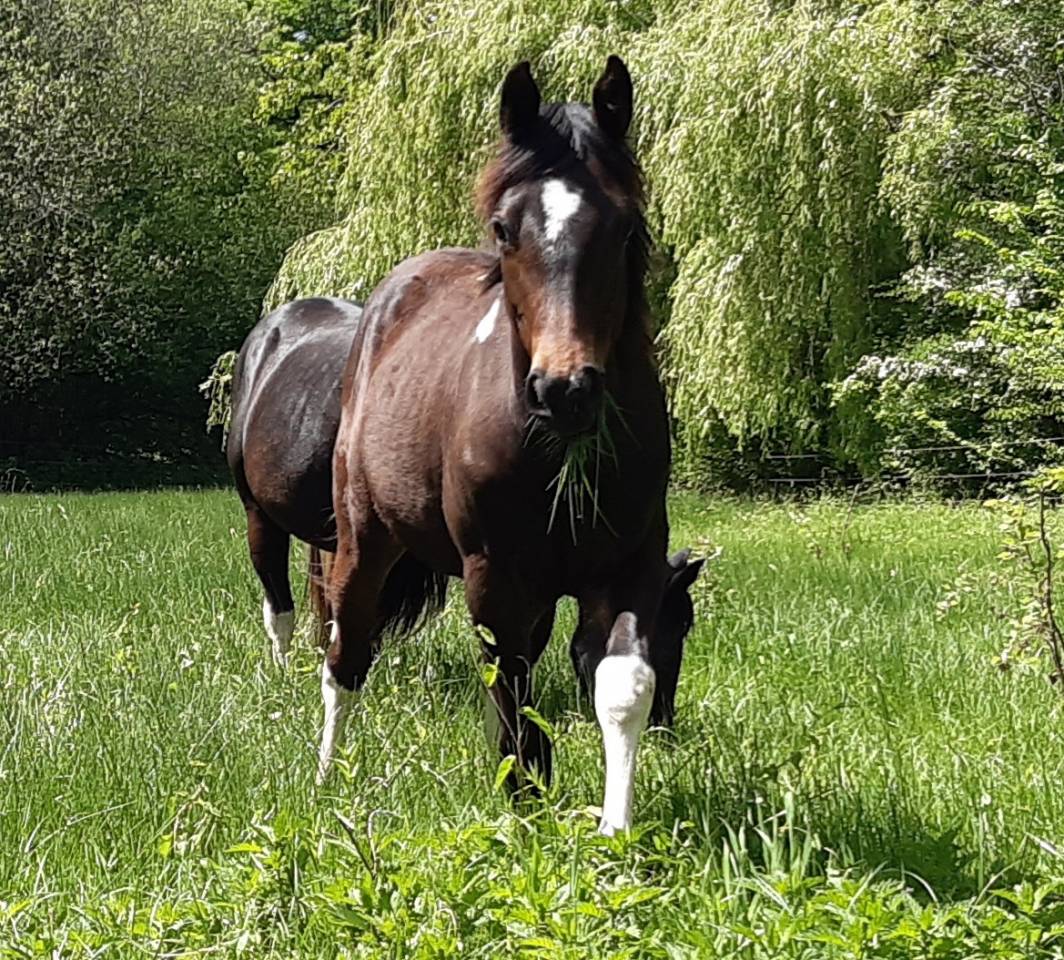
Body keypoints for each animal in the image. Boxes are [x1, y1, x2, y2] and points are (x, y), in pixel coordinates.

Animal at [227, 296, 702, 717]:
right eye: (670, 624)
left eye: (684, 626)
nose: (662, 723)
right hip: (260, 514)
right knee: (279, 601)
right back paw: (284, 668)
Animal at [321, 56, 682, 834]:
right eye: (505, 228)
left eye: (625, 226)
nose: (564, 388)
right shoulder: (492, 572)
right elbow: (509, 681)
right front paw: (521, 806)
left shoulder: (631, 566)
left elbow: (620, 684)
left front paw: (613, 826)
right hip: (365, 540)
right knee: (346, 653)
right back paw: (328, 777)